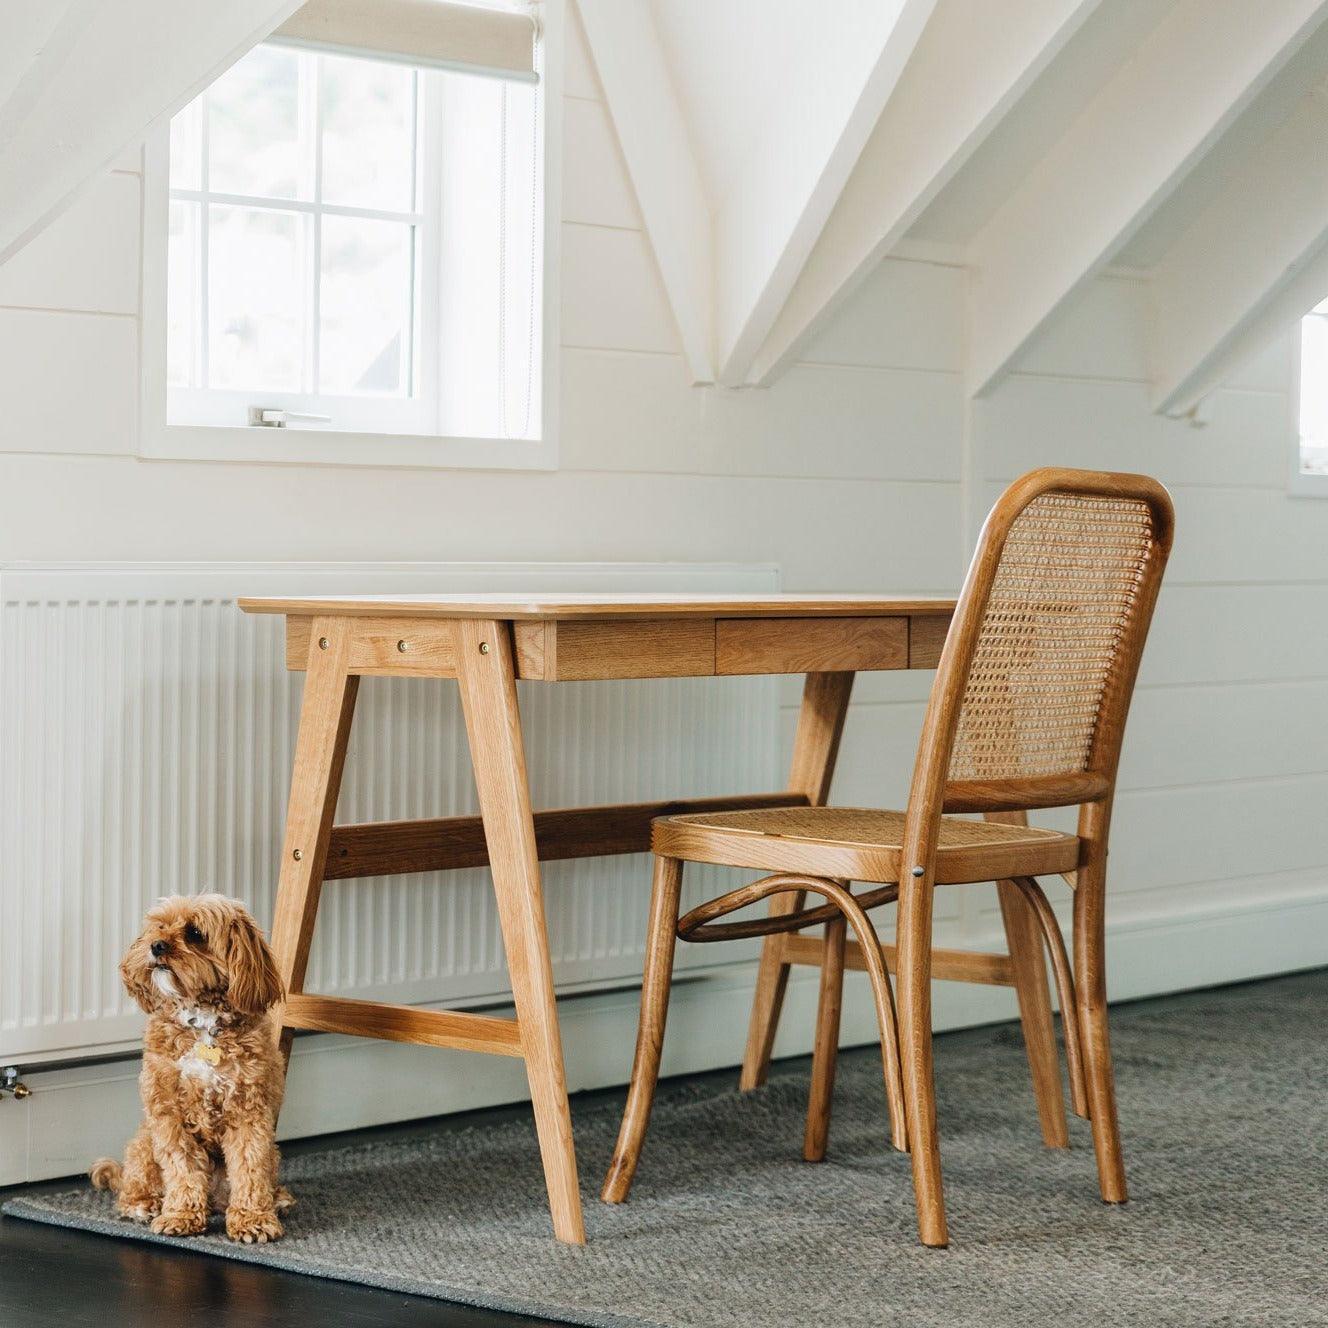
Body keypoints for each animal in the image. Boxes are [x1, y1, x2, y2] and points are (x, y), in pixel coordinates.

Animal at [94, 892, 297, 1243]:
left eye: (195, 933)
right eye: (160, 926)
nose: (156, 945)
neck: (202, 1024)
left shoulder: (249, 1112)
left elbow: (249, 1167)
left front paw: (253, 1220)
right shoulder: (169, 1114)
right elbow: (182, 1168)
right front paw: (181, 1215)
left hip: (271, 1153)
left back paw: (276, 1199)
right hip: (144, 1141)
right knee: (133, 1182)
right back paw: (143, 1204)